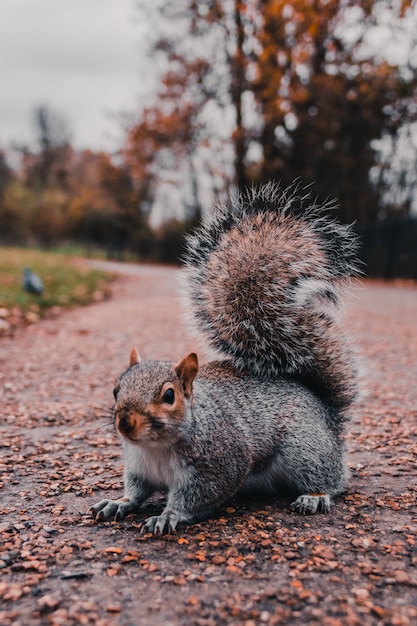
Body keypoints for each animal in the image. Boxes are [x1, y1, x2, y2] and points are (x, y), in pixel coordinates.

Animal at [90, 179, 358, 532]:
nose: (125, 423)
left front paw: (168, 516)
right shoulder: (138, 467)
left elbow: (197, 497)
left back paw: (314, 496)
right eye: (115, 390)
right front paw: (118, 502)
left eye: (169, 395)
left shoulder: (221, 463)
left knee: (330, 479)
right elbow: (135, 491)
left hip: (305, 451)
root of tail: (327, 415)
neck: (155, 448)